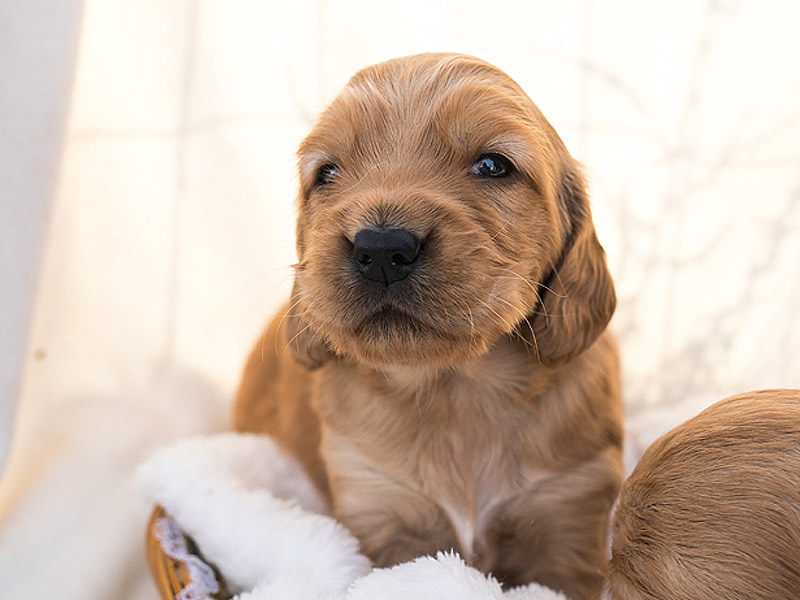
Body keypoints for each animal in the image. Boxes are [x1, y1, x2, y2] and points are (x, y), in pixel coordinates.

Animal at [234, 52, 620, 600]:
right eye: (327, 173)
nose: (380, 250)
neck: (455, 388)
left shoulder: (569, 515)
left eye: (493, 165)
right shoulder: (380, 511)